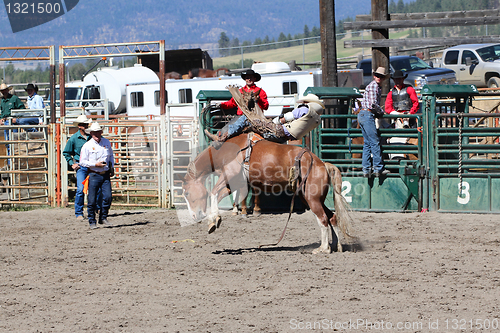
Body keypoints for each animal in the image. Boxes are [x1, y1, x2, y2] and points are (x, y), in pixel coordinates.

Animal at [184, 134, 356, 253]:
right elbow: (218, 195)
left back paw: (323, 249)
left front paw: (213, 220)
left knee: (323, 219)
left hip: (312, 199)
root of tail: (322, 164)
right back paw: (335, 246)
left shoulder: (230, 174)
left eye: (186, 193)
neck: (227, 150)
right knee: (331, 217)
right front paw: (214, 221)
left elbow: (213, 192)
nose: (193, 216)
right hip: (311, 198)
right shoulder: (233, 181)